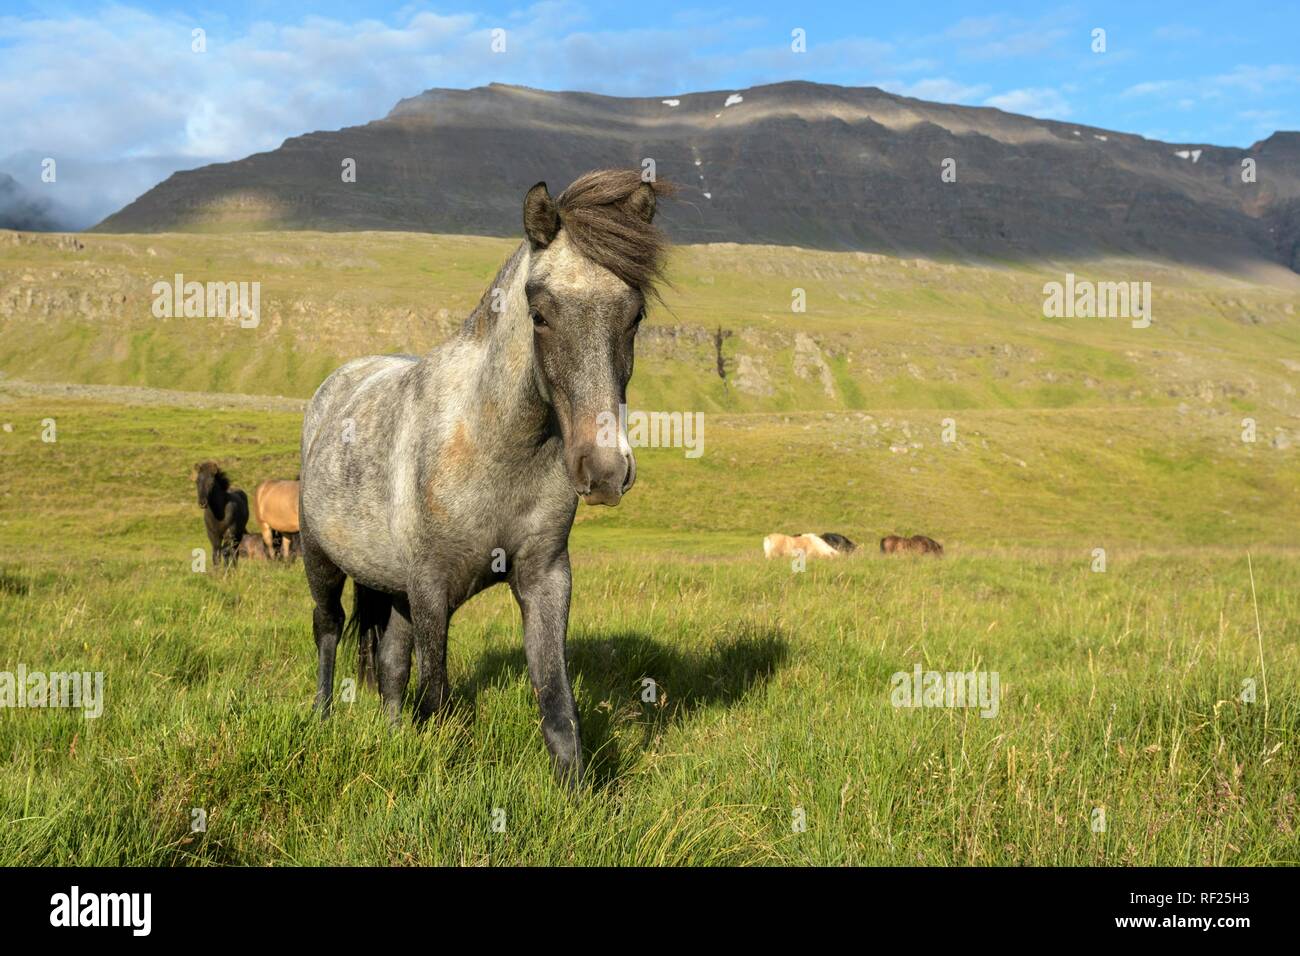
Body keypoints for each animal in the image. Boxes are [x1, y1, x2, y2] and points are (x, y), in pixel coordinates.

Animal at [300, 170, 676, 785]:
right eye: (540, 313)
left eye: (635, 315)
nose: (604, 471)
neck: (494, 449)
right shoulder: (432, 590)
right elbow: (437, 697)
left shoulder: (545, 580)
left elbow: (557, 706)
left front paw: (577, 794)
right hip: (322, 562)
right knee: (329, 631)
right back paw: (323, 716)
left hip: (393, 589)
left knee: (391, 663)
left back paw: (390, 735)